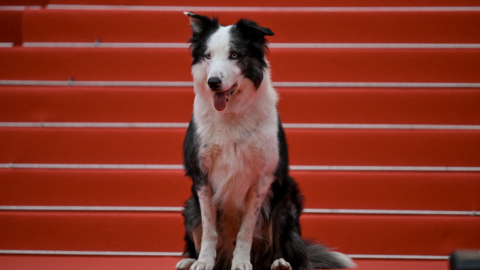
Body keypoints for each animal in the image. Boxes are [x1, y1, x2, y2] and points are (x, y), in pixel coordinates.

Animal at [177, 12, 356, 270]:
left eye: (234, 55)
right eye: (208, 56)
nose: (213, 82)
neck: (231, 113)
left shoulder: (262, 179)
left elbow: (246, 230)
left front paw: (241, 262)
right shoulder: (202, 176)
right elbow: (209, 229)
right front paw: (203, 262)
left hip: (285, 202)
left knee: (292, 253)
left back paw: (280, 262)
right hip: (190, 206)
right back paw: (190, 260)